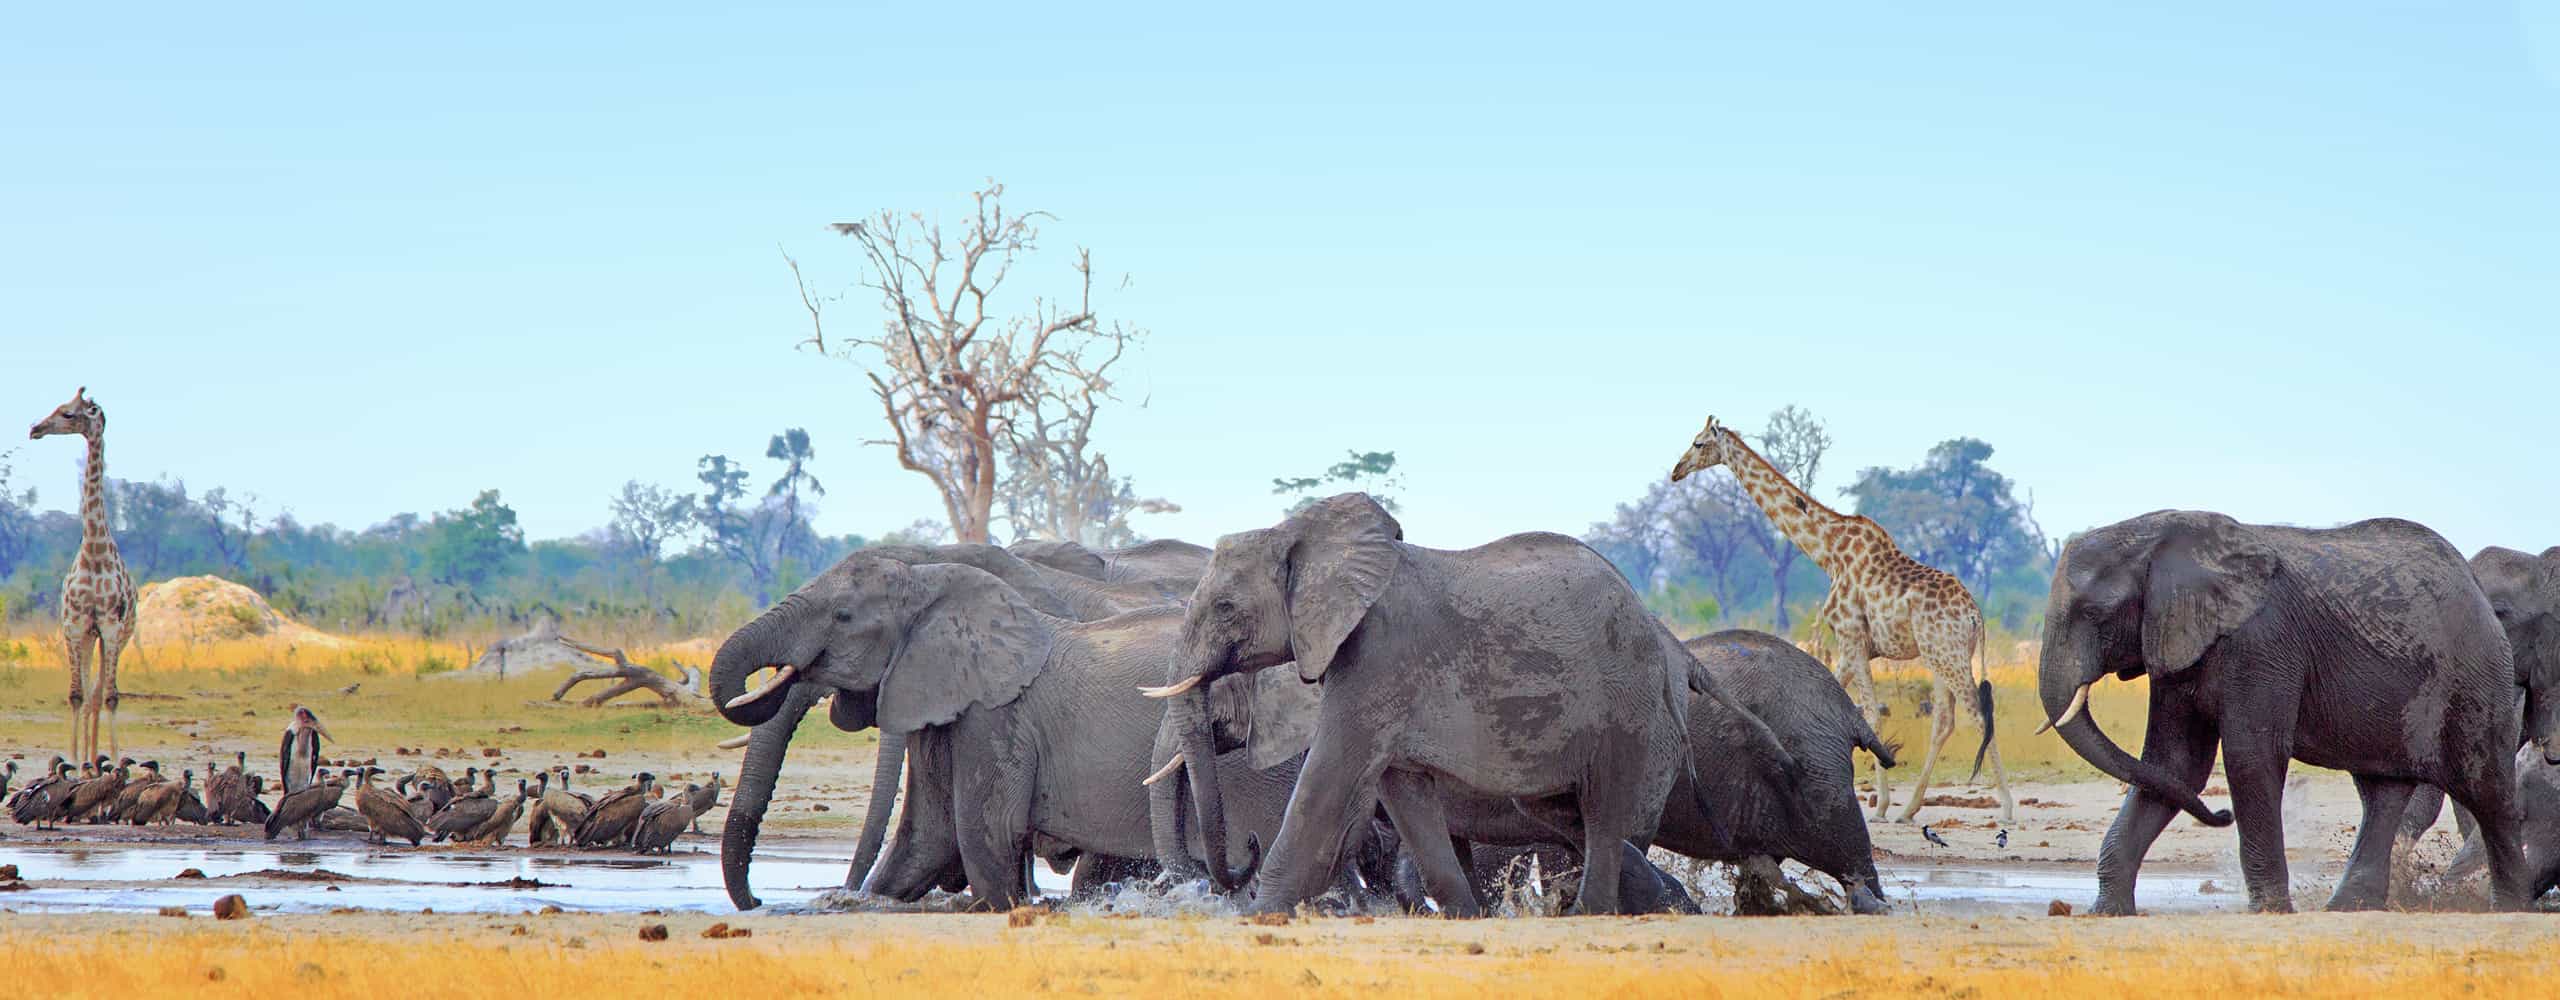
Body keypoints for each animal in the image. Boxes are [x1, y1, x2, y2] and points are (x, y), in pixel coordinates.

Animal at [712, 554, 1290, 911]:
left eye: (843, 616)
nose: (759, 902)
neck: (929, 586)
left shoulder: (996, 718)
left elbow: (984, 834)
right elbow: (925, 839)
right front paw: (858, 904)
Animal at [1147, 493, 1705, 916]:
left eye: (1225, 608)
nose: (1246, 847)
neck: (1300, 537)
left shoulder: (1378, 658)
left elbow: (1328, 786)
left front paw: (1262, 916)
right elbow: (1405, 794)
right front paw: (1466, 916)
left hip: (1624, 698)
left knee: (1603, 807)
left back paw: (1594, 913)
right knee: (1562, 809)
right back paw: (1654, 900)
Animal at [2036, 510, 2533, 914]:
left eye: (2095, 613)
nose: (2221, 815)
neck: (2162, 533)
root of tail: (2473, 584)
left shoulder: (2263, 641)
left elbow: (2249, 757)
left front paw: (2270, 910)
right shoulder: (2176, 642)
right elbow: (2172, 766)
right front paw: (2107, 913)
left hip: (2476, 675)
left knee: (2487, 789)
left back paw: (2512, 906)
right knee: (2382, 791)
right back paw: (2348, 908)